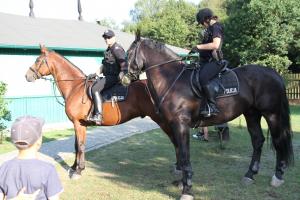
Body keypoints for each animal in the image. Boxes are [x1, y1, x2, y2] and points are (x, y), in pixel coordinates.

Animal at [25, 46, 178, 179]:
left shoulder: (78, 124)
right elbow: (76, 145)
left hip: (163, 121)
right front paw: (74, 167)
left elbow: (80, 146)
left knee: (175, 139)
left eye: (38, 60)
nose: (27, 76)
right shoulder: (78, 124)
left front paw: (78, 170)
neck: (75, 87)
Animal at [125, 33, 294, 199]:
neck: (171, 79)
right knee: (258, 141)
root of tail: (274, 73)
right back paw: (250, 175)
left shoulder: (181, 124)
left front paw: (187, 190)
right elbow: (180, 151)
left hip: (272, 115)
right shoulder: (173, 125)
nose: (123, 76)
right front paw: (181, 183)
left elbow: (184, 155)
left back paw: (278, 176)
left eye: (129, 53)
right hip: (252, 114)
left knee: (279, 140)